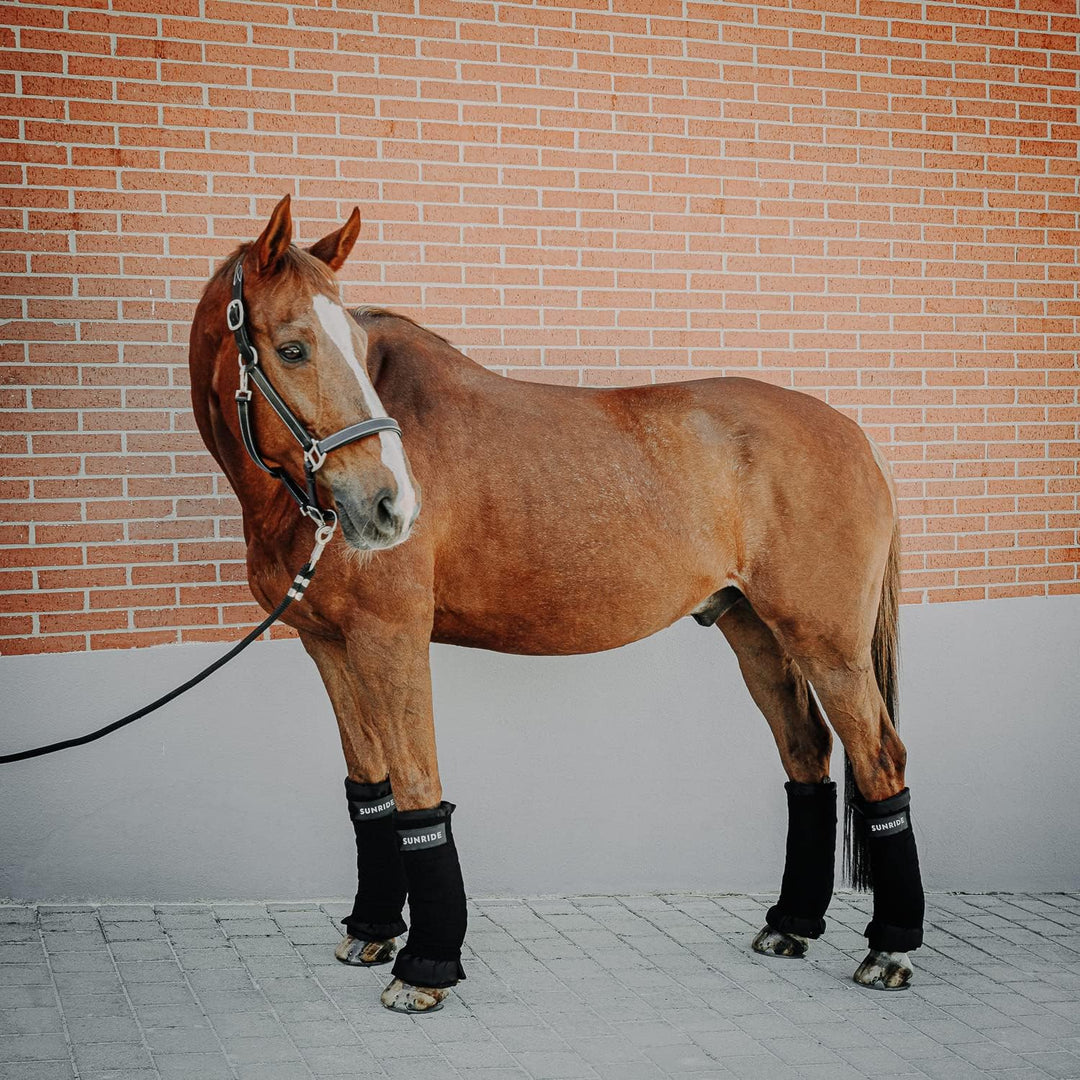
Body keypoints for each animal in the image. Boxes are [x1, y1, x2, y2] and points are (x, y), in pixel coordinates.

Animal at [188, 194, 925, 1013]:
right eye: (291, 348)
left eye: (352, 340)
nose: (389, 506)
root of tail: (857, 436)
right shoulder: (329, 645)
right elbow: (369, 787)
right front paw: (374, 932)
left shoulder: (391, 637)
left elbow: (417, 786)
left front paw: (427, 966)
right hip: (754, 629)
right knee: (807, 754)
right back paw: (790, 924)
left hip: (828, 643)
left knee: (880, 759)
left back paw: (890, 949)